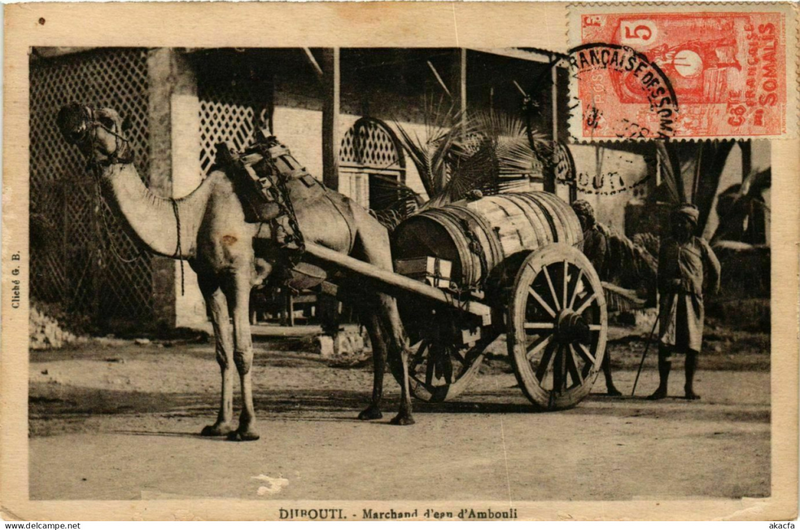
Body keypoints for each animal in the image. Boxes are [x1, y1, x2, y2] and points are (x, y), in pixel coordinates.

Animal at [56, 102, 416, 438]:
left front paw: (247, 427)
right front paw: (219, 423)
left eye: (107, 118)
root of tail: (378, 221)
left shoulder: (238, 276)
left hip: (376, 258)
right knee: (378, 337)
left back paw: (405, 414)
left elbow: (243, 350)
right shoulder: (208, 280)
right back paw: (371, 409)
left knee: (398, 336)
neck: (193, 217)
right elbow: (222, 353)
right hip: (353, 283)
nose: (69, 111)